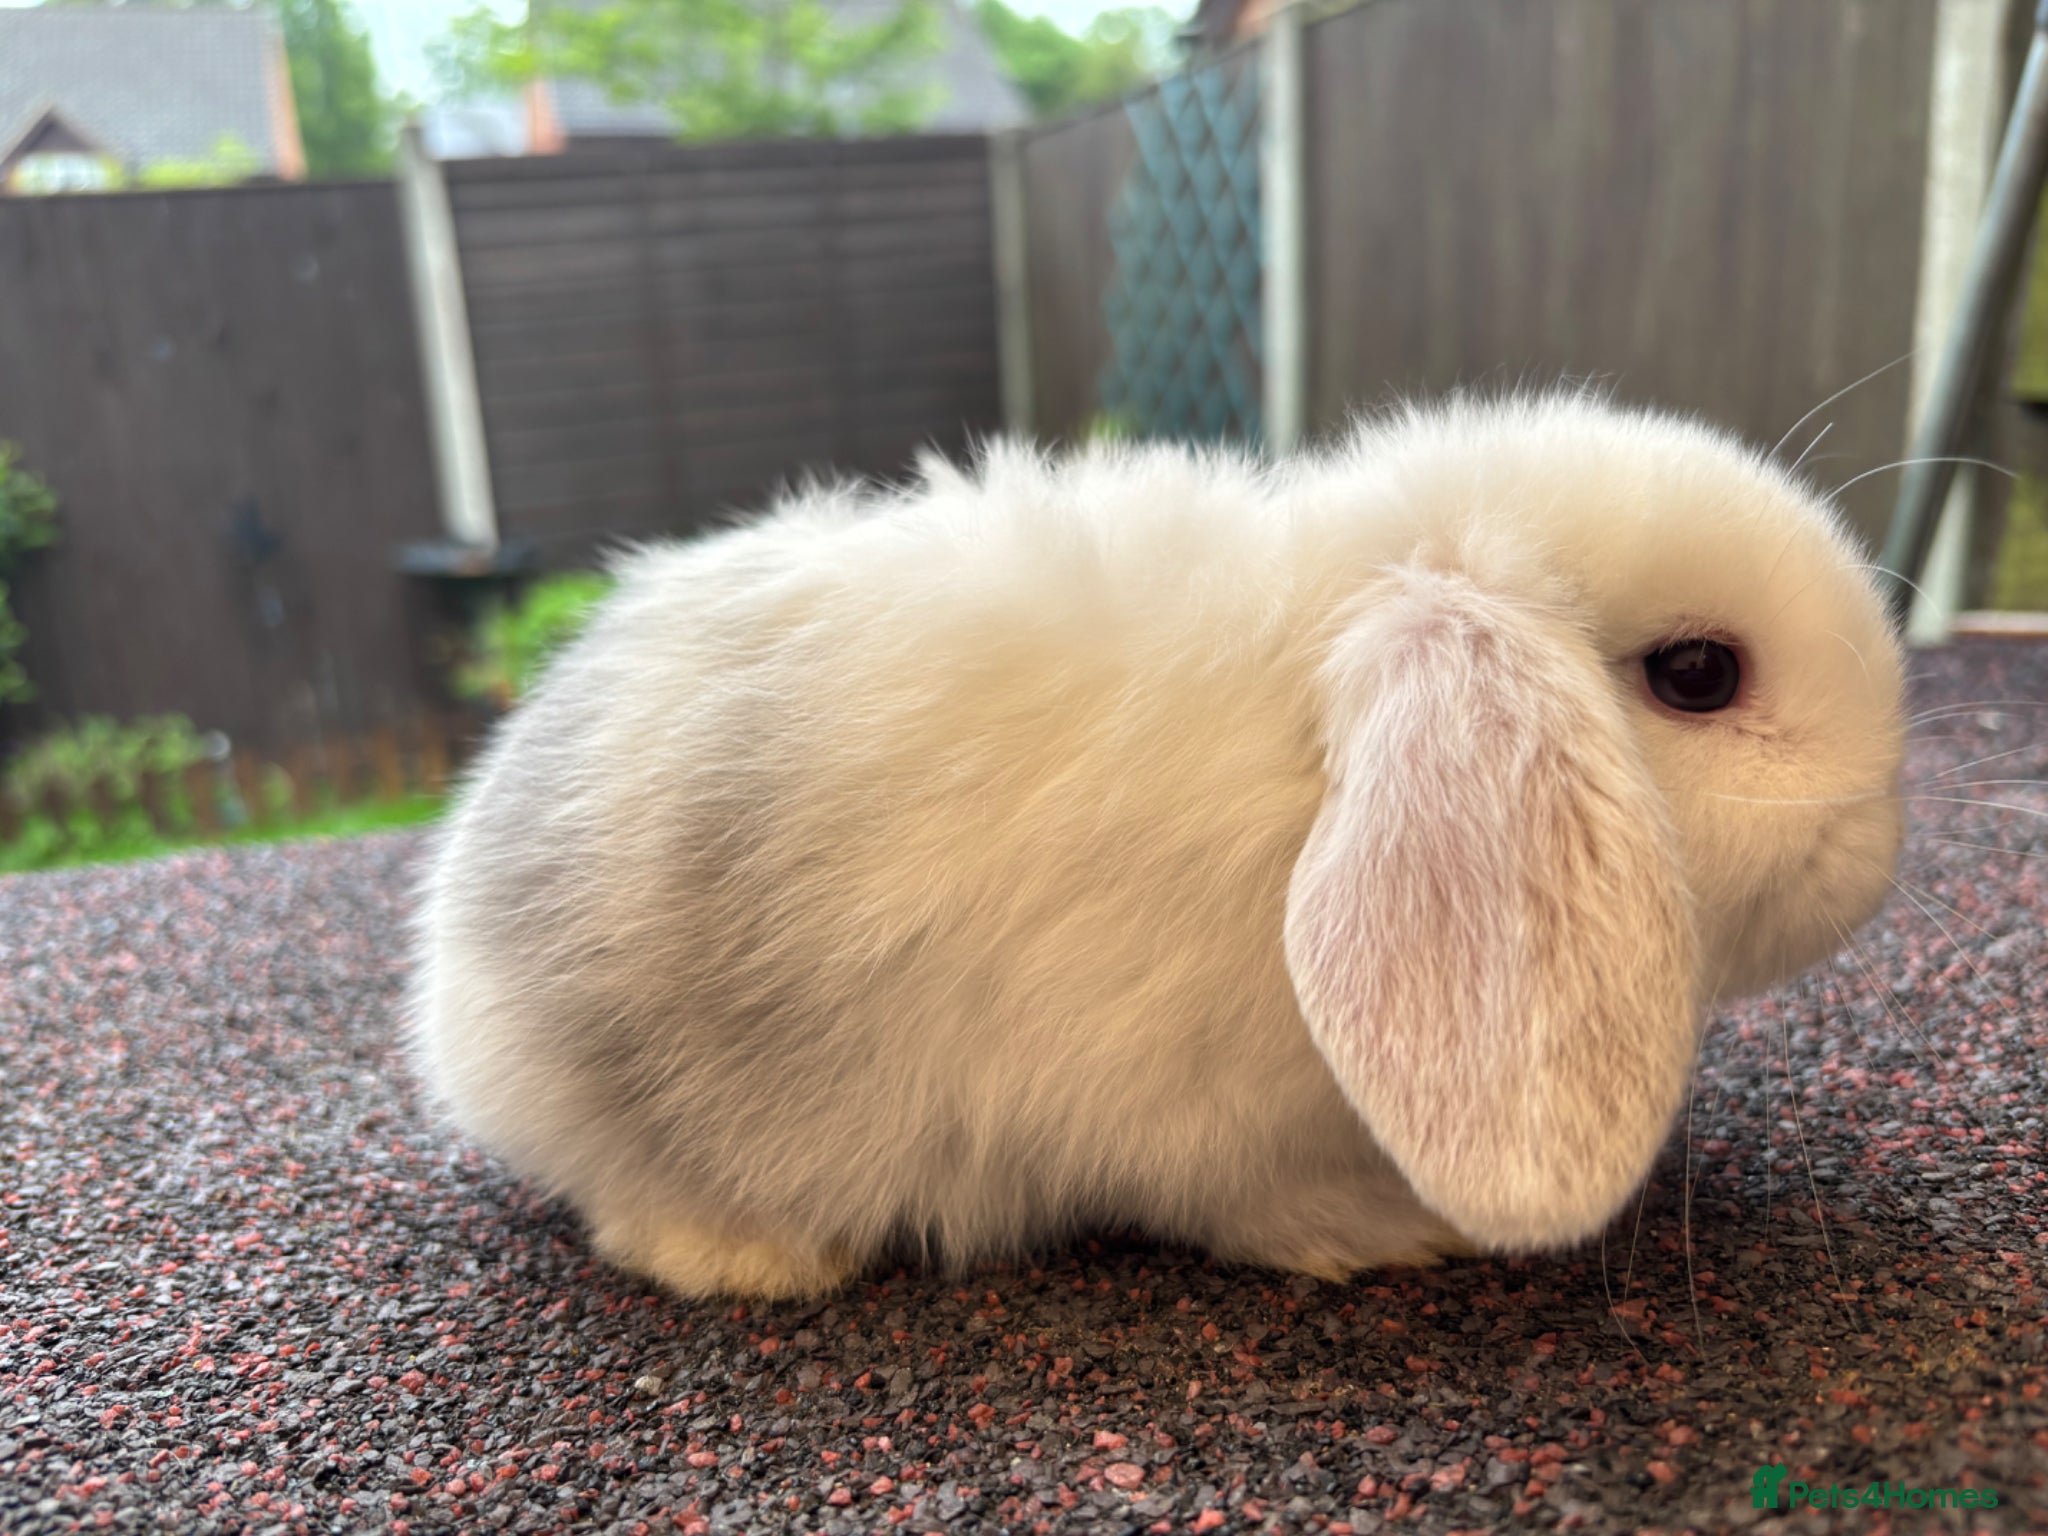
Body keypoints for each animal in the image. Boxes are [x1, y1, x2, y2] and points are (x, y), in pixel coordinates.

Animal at [409, 391, 1907, 1300]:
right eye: (1700, 674)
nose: (1880, 843)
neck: (1305, 758)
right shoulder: (1194, 1126)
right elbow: (1254, 1206)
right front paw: (1390, 1235)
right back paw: (757, 1259)